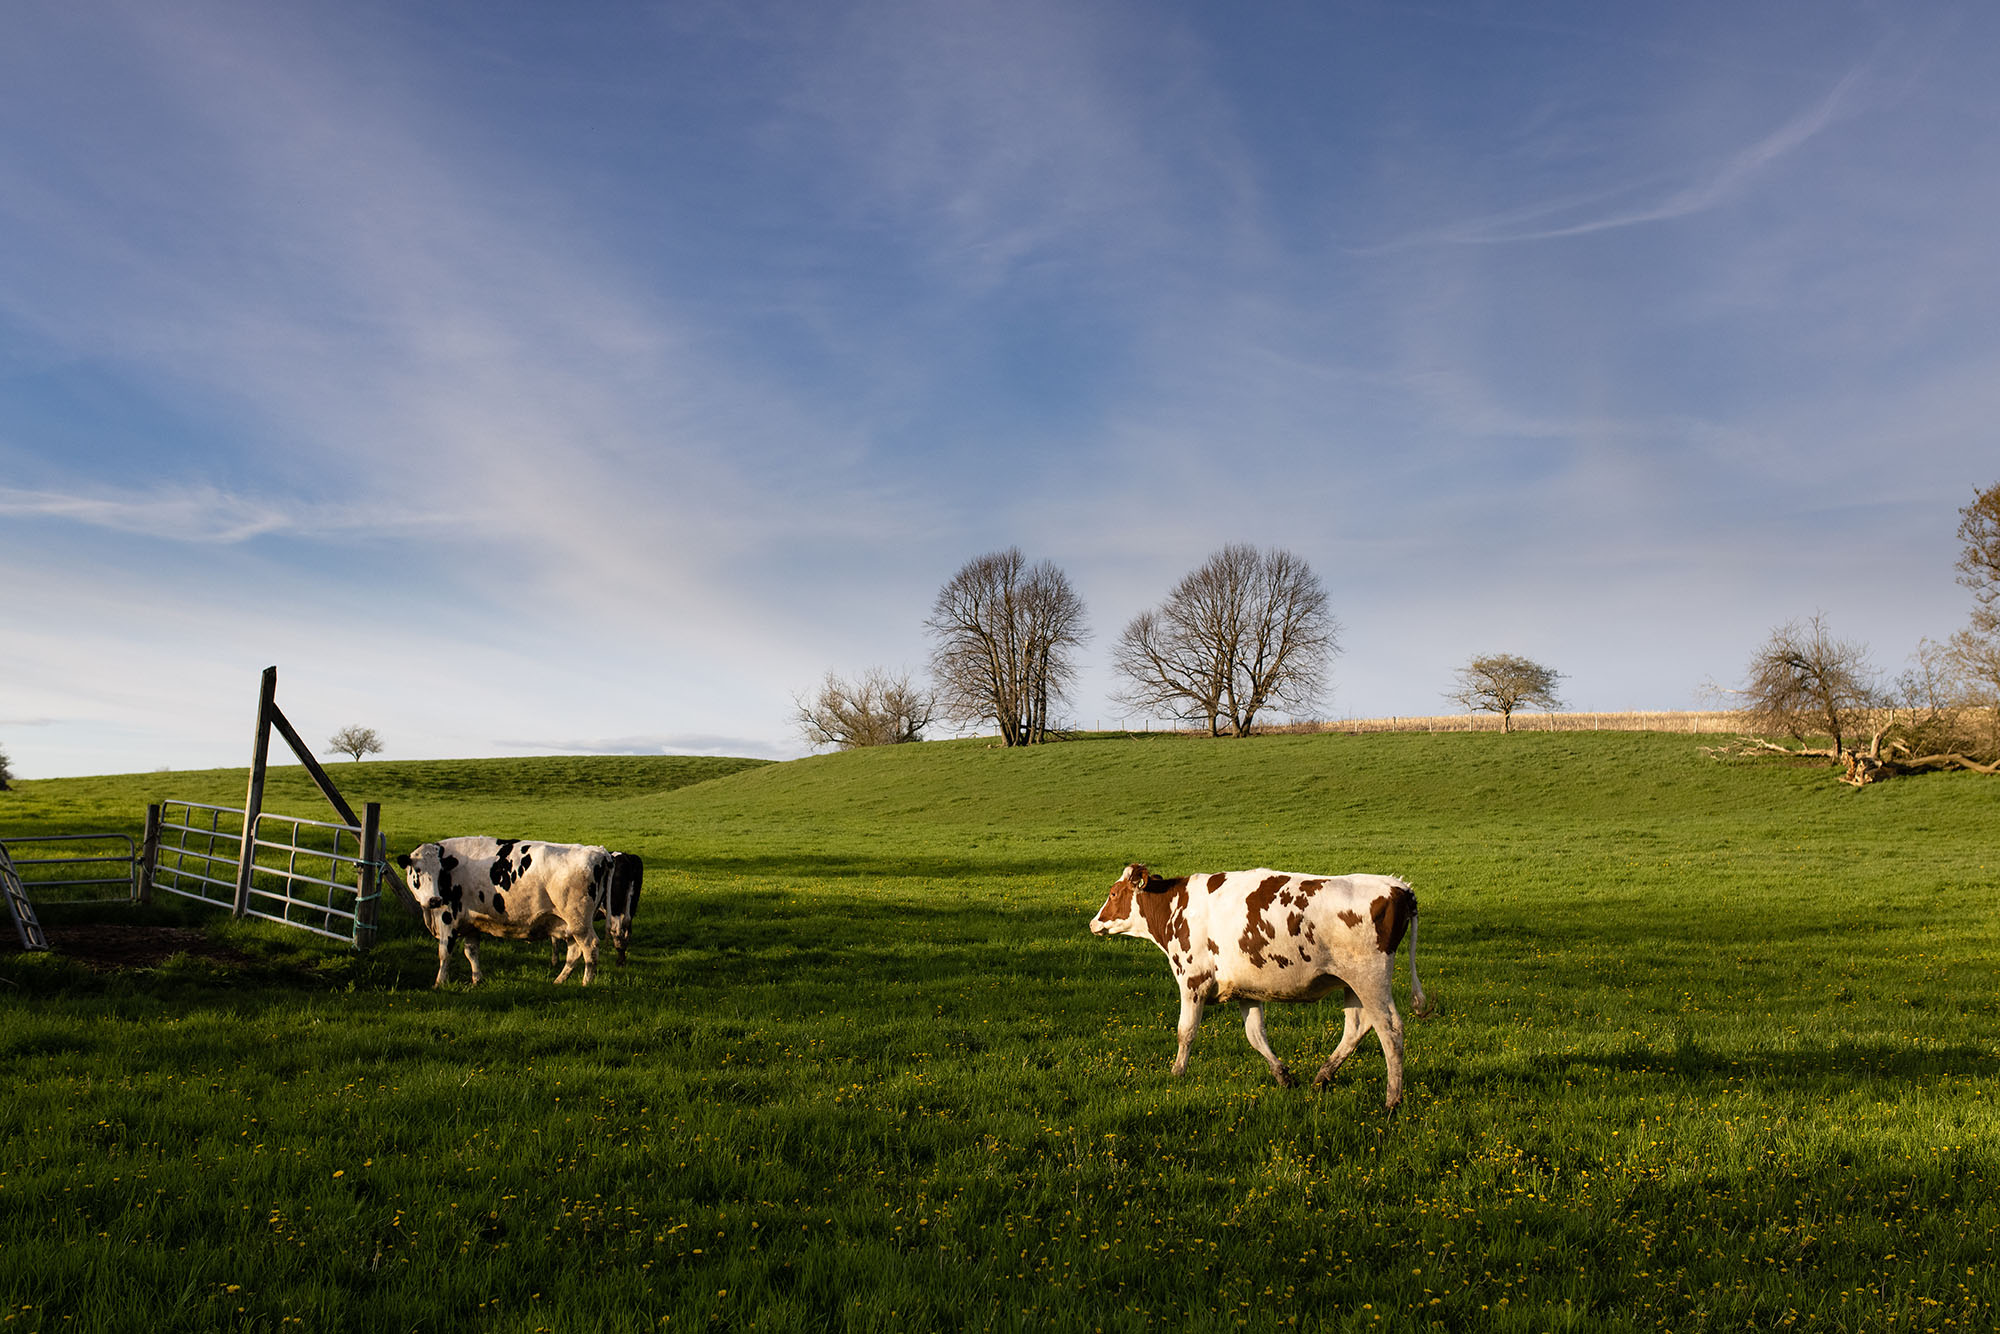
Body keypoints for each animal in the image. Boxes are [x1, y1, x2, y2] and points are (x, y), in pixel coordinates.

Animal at [390, 840, 608, 988]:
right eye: (417, 870)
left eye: (440, 872)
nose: (435, 900)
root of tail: (599, 852)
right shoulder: (472, 923)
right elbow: (471, 952)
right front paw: (477, 979)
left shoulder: (447, 919)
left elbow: (445, 953)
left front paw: (440, 983)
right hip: (568, 924)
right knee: (575, 952)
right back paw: (559, 980)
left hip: (579, 922)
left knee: (590, 947)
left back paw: (586, 982)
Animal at [1096, 860, 1424, 1112]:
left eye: (1113, 893)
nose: (1094, 922)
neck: (1177, 906)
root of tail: (1397, 886)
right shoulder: (1247, 991)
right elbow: (1255, 1035)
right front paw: (1283, 1076)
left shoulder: (1192, 981)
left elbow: (1185, 1032)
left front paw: (1177, 1073)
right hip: (1352, 984)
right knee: (1357, 1026)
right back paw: (1323, 1076)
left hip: (1370, 979)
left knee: (1390, 1030)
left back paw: (1392, 1100)